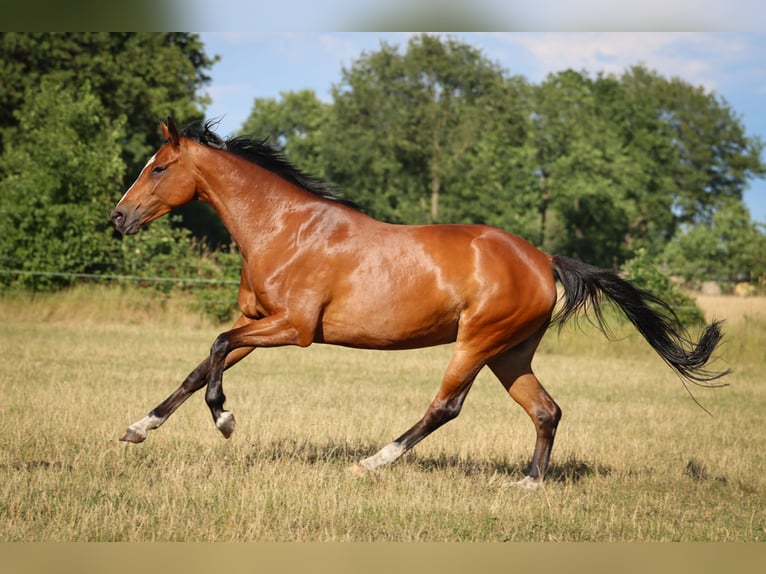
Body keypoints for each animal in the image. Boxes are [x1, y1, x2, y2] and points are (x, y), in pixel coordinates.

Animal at [110, 118, 728, 488]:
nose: (118, 217)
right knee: (546, 410)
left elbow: (214, 352)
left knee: (445, 407)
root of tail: (543, 259)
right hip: (511, 353)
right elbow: (199, 367)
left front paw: (226, 420)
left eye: (158, 167)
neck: (285, 228)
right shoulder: (257, 321)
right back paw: (528, 483)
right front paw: (138, 429)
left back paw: (373, 461)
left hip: (477, 342)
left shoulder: (292, 327)